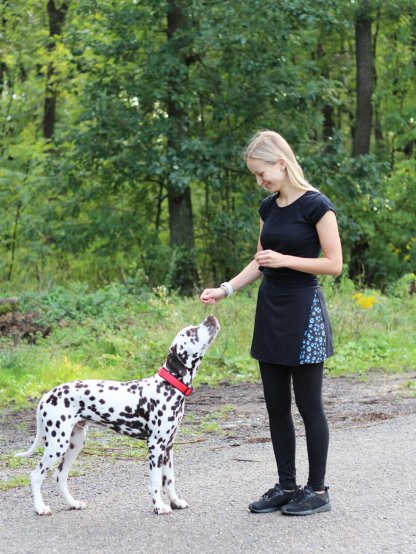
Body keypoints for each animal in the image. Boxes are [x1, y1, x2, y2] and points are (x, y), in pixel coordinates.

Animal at [15, 314, 219, 512]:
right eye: (192, 332)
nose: (210, 317)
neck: (168, 385)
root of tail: (46, 396)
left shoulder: (168, 447)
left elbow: (169, 480)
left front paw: (175, 502)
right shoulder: (155, 446)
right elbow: (155, 481)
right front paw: (159, 507)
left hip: (75, 443)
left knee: (60, 475)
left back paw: (73, 503)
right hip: (57, 444)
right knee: (36, 475)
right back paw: (40, 508)